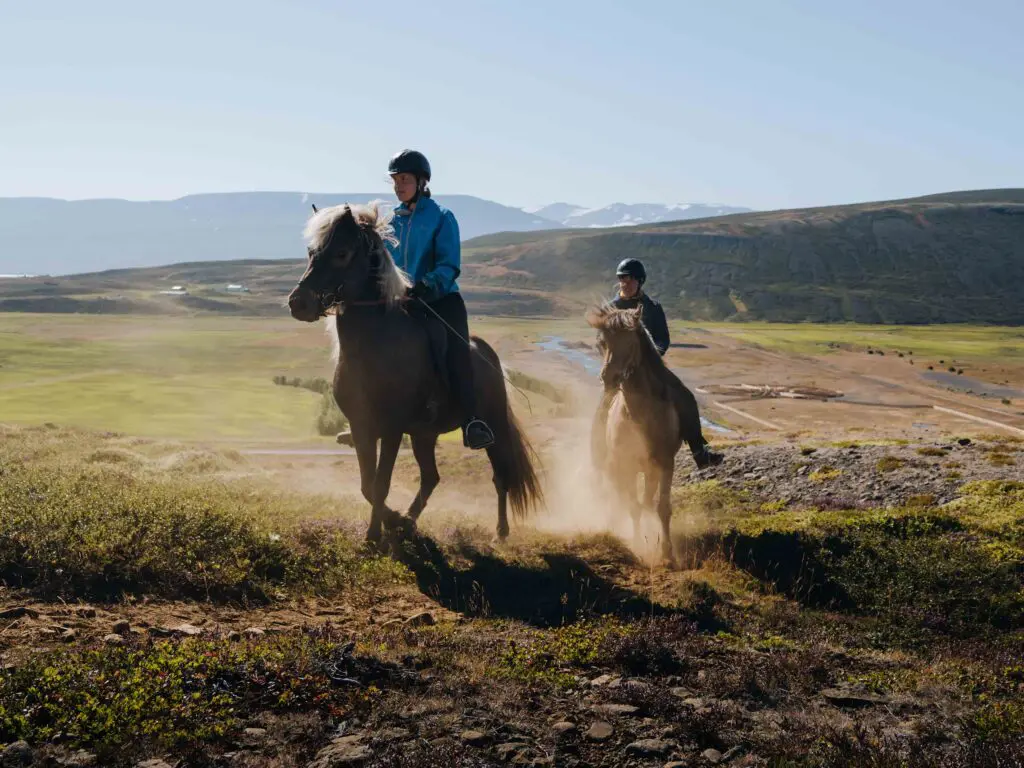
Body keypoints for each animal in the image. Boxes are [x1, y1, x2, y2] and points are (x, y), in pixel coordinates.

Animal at [288, 201, 544, 544]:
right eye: (311, 251)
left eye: (341, 253)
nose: (298, 303)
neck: (375, 346)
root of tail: (489, 355)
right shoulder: (361, 426)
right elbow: (367, 485)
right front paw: (393, 522)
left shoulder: (393, 428)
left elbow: (380, 484)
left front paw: (376, 535)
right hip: (424, 434)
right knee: (431, 477)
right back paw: (410, 521)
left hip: (494, 426)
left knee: (500, 476)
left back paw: (500, 532)